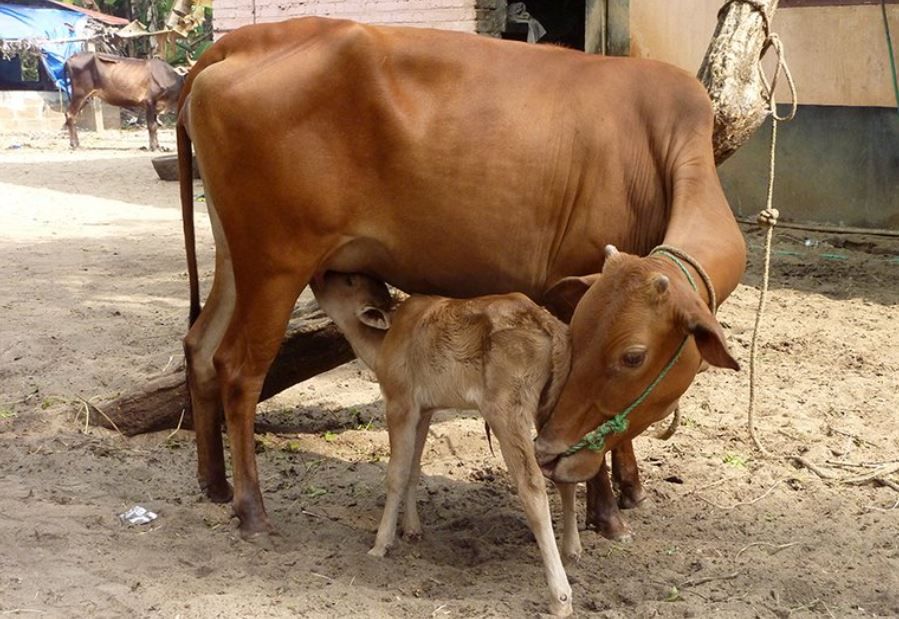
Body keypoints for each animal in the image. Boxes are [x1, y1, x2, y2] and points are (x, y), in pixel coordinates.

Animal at [176, 18, 744, 556]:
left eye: (632, 357)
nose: (550, 453)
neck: (661, 146)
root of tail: (237, 43)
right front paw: (605, 510)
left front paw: (629, 488)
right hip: (276, 265)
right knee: (239, 370)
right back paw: (252, 508)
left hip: (236, 258)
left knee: (199, 346)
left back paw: (214, 484)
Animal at [312, 274, 580, 616]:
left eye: (347, 280)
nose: (317, 276)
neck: (385, 341)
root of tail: (544, 321)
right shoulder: (425, 409)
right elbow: (414, 468)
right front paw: (412, 530)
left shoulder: (399, 403)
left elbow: (396, 473)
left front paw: (380, 544)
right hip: (553, 406)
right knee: (565, 472)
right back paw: (572, 549)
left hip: (507, 411)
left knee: (532, 485)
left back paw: (560, 596)